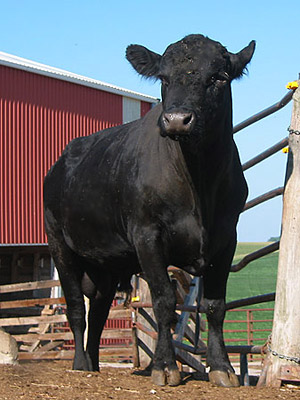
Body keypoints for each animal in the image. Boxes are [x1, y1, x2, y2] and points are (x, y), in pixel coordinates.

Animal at [44, 34, 255, 388]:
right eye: (163, 78)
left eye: (218, 77)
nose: (177, 119)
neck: (198, 182)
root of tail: (60, 162)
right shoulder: (147, 235)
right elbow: (163, 301)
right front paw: (165, 366)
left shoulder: (227, 237)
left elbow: (215, 305)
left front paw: (222, 368)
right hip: (59, 244)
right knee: (76, 308)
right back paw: (80, 364)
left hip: (106, 264)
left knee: (98, 311)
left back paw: (95, 363)